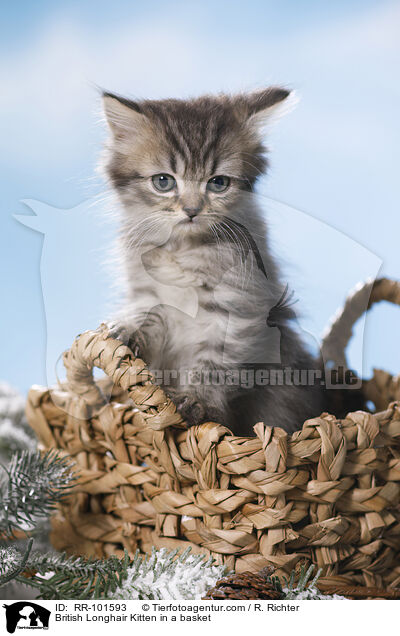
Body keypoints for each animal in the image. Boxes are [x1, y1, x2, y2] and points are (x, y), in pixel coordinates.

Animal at [101, 87, 324, 434]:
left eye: (218, 183)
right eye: (163, 181)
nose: (192, 210)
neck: (183, 248)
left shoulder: (237, 307)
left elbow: (212, 364)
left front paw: (198, 403)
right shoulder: (148, 293)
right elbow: (147, 317)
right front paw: (127, 328)